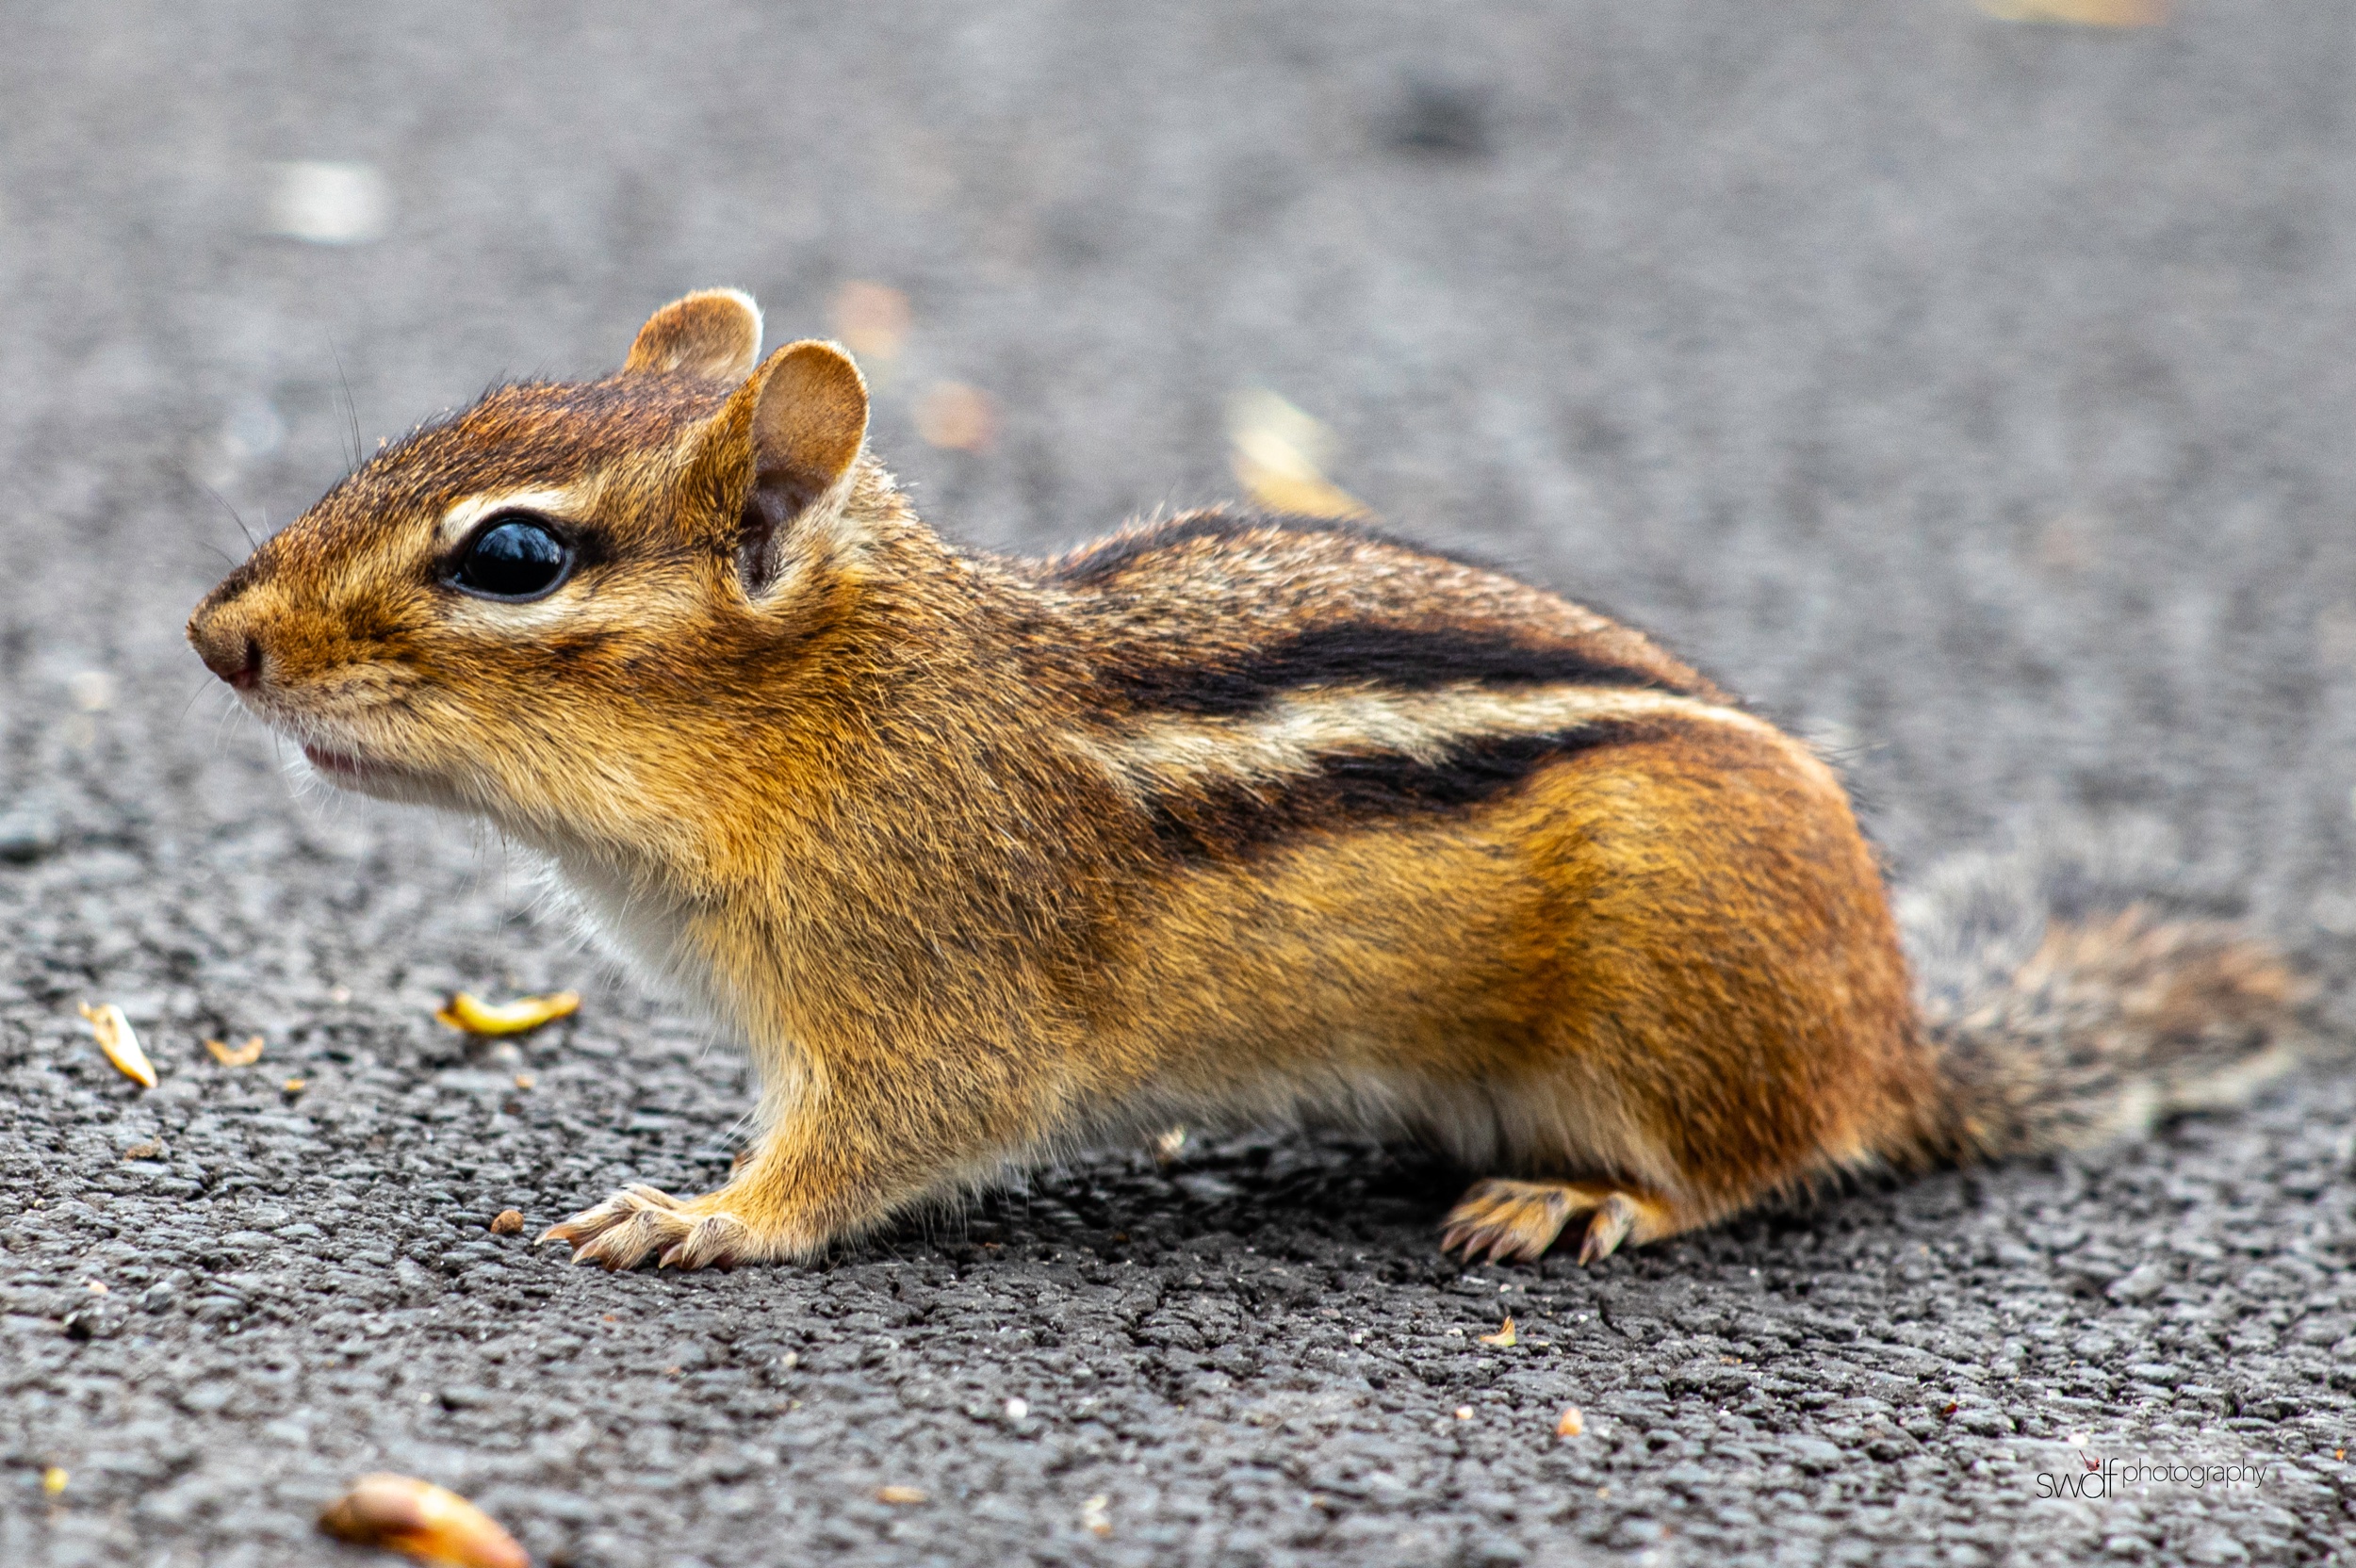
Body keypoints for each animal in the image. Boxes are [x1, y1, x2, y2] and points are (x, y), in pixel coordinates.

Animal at [187, 289, 2311, 1271]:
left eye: (513, 554)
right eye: (443, 417)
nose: (219, 636)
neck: (846, 707)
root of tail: (1903, 1030)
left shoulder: (933, 988)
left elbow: (884, 1139)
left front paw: (703, 1216)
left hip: (1686, 990)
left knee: (1762, 1155)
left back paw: (1577, 1201)